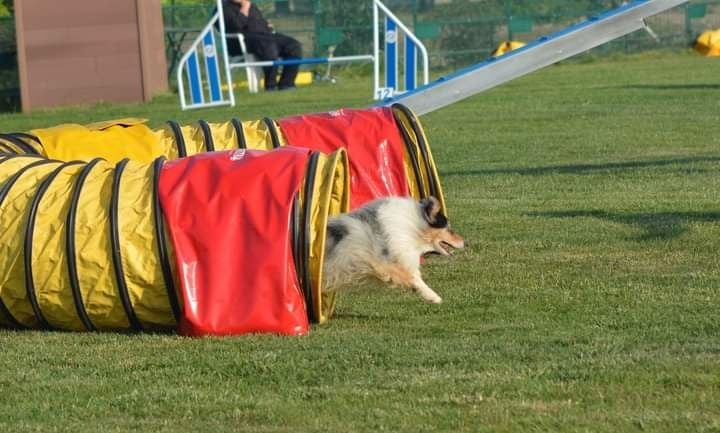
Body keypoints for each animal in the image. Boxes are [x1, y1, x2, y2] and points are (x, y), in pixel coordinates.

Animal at [322, 197, 466, 304]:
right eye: (449, 229)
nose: (466, 243)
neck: (413, 227)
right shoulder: (383, 262)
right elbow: (414, 278)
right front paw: (434, 297)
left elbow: (414, 275)